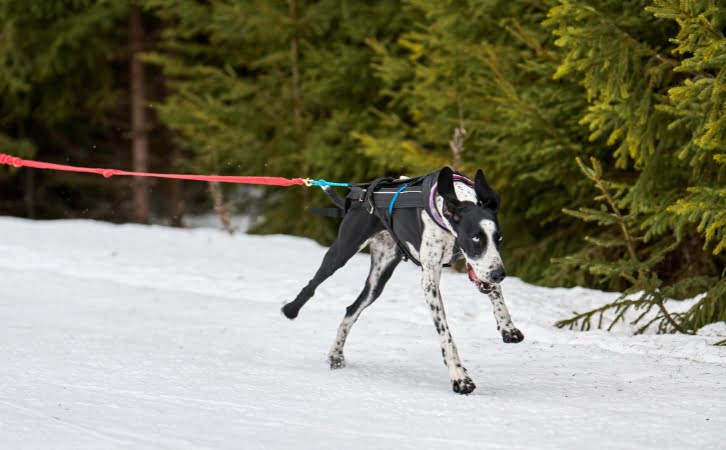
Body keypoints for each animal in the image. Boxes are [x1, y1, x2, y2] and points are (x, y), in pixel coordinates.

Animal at [282, 166, 528, 394]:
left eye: (499, 239)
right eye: (475, 238)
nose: (500, 274)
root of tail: (363, 194)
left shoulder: (482, 265)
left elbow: (494, 290)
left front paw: (507, 326)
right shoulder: (430, 282)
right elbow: (446, 336)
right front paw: (459, 377)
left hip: (379, 279)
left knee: (352, 309)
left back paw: (336, 354)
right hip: (341, 252)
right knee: (312, 285)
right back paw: (291, 310)